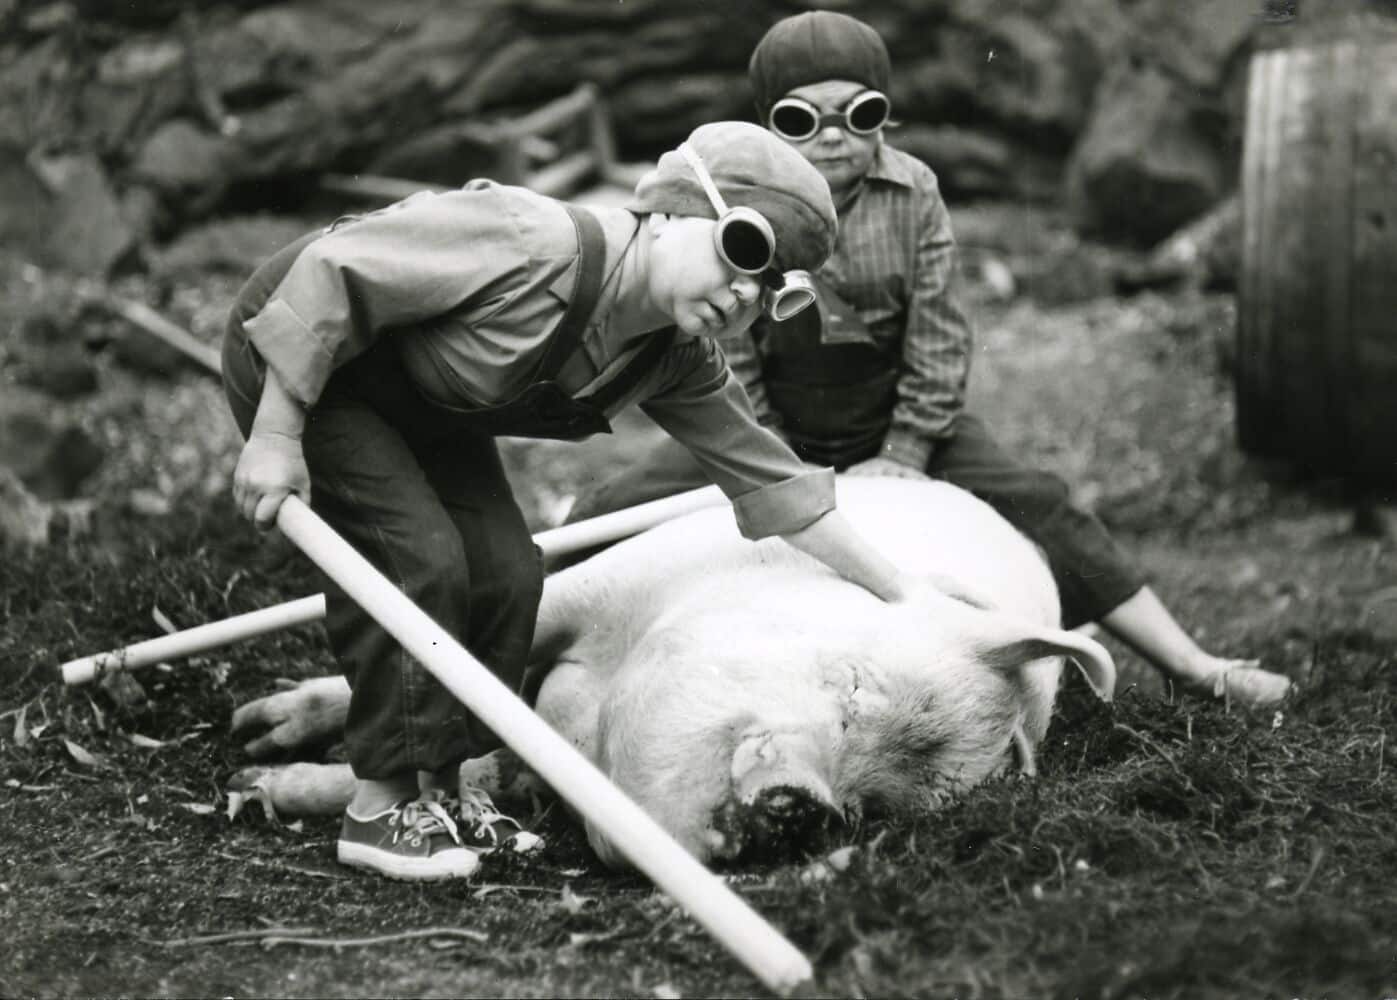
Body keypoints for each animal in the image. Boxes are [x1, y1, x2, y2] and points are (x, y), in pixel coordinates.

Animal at [234, 477, 1117, 865]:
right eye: (849, 684)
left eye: (876, 808)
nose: (804, 811)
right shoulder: (616, 577)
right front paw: (253, 743)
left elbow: (475, 764)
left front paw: (263, 785)